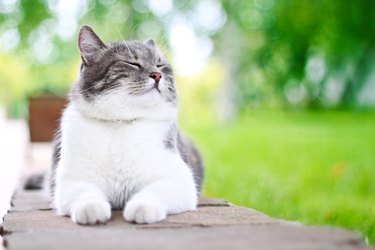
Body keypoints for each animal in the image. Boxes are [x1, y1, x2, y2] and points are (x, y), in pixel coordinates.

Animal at [43, 24, 204, 225]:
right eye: (132, 63)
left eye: (160, 65)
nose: (157, 74)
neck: (121, 122)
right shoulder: (71, 181)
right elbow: (85, 192)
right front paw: (91, 208)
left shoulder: (180, 181)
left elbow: (154, 191)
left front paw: (142, 208)